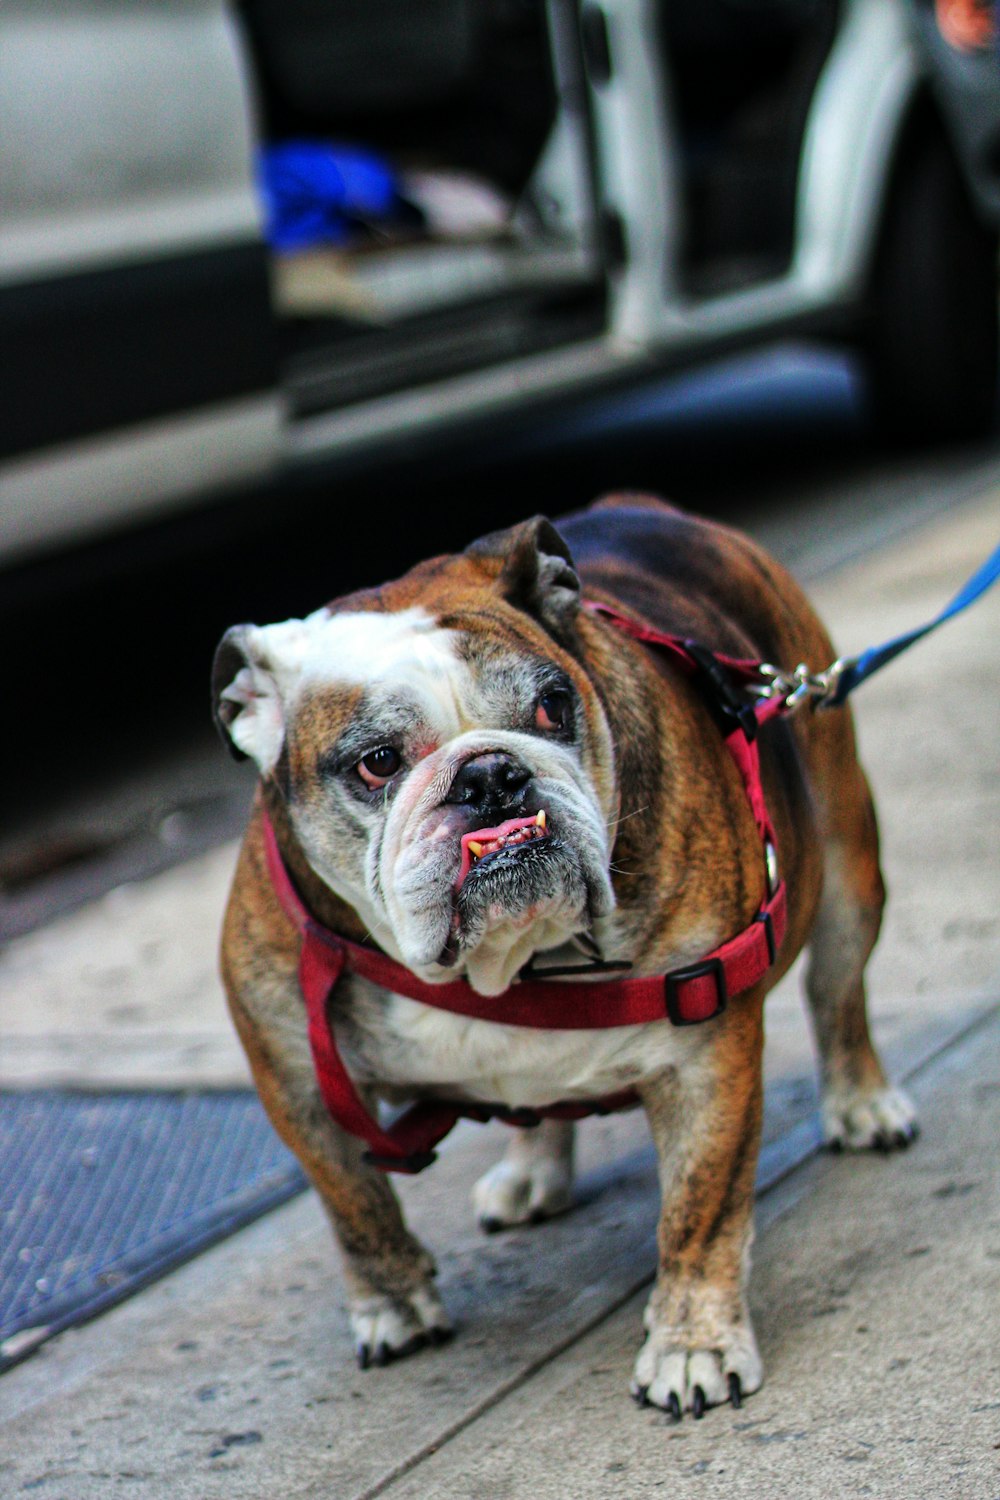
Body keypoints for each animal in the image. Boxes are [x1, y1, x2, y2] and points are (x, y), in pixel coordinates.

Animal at [211, 498, 917, 1410]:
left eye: (552, 707)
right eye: (377, 763)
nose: (489, 777)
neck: (503, 967)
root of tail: (645, 506)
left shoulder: (706, 1051)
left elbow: (700, 1208)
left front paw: (693, 1343)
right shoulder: (294, 1075)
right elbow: (353, 1200)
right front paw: (392, 1305)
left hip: (847, 871)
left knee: (839, 994)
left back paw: (863, 1103)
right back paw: (529, 1174)